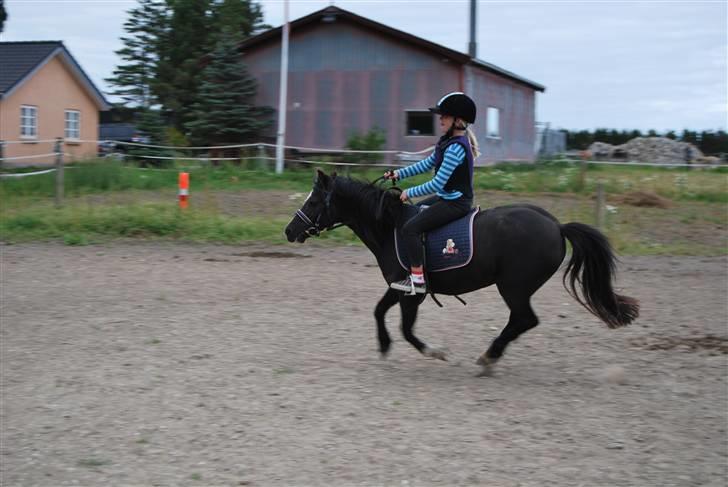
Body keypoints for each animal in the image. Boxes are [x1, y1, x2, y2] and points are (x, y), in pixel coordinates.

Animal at [284, 170, 636, 372]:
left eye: (314, 201)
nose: (289, 231)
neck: (388, 226)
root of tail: (556, 226)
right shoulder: (400, 286)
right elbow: (378, 311)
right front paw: (383, 346)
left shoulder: (413, 295)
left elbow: (407, 330)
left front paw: (436, 352)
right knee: (521, 321)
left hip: (514, 286)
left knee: (524, 320)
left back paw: (489, 357)